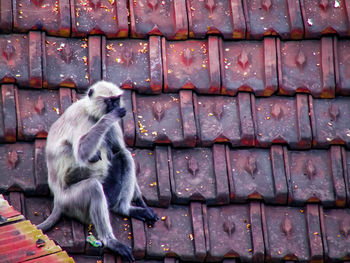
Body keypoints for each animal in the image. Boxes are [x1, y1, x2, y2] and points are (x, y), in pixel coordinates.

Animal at [36, 80, 159, 262]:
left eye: (116, 99)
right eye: (109, 101)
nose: (115, 106)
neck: (92, 113)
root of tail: (57, 200)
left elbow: (118, 149)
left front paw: (140, 201)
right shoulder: (83, 119)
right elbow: (81, 151)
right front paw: (110, 117)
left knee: (124, 155)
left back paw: (124, 208)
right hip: (70, 200)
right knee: (92, 184)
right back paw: (110, 241)